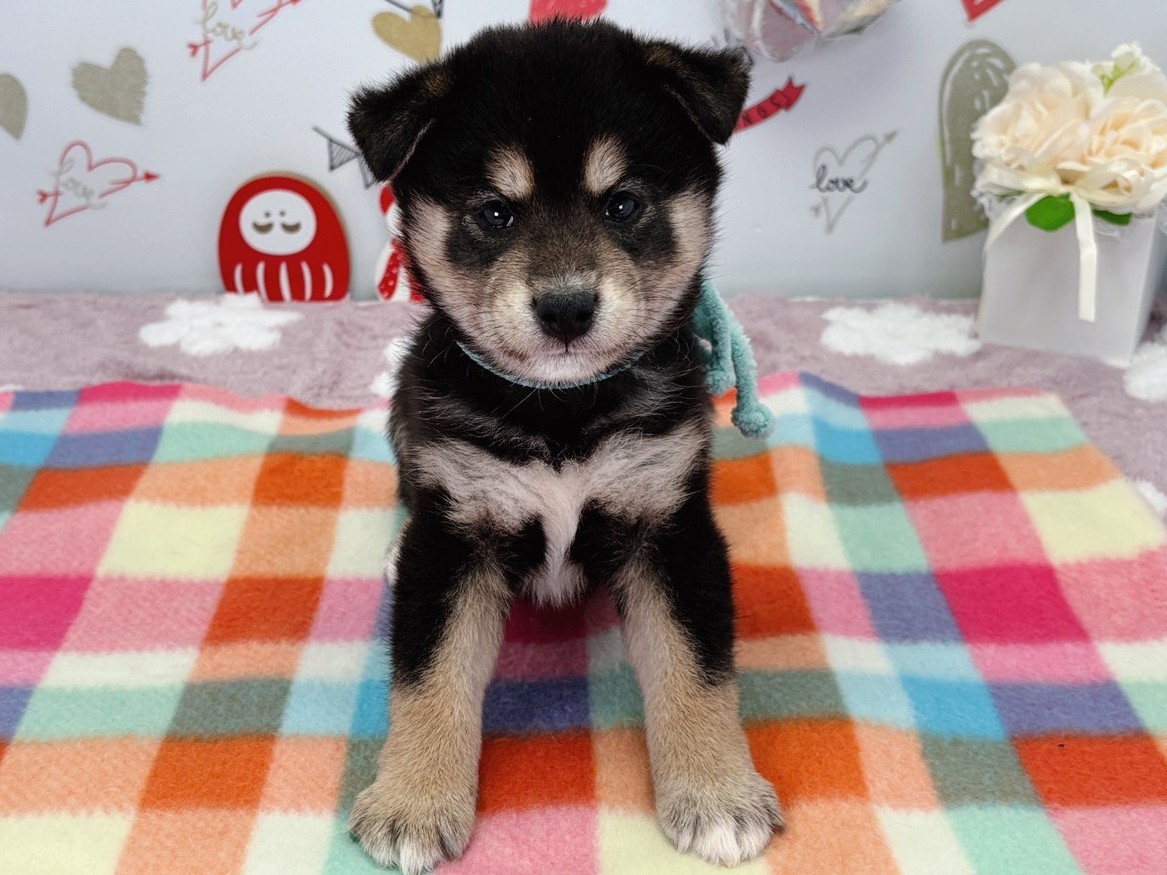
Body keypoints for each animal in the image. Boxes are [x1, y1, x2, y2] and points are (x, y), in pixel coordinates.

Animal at [346, 19, 782, 872]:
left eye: (623, 203)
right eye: (493, 213)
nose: (566, 308)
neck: (561, 411)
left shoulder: (668, 523)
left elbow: (696, 668)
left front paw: (716, 792)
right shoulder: (456, 531)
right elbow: (428, 674)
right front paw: (412, 800)